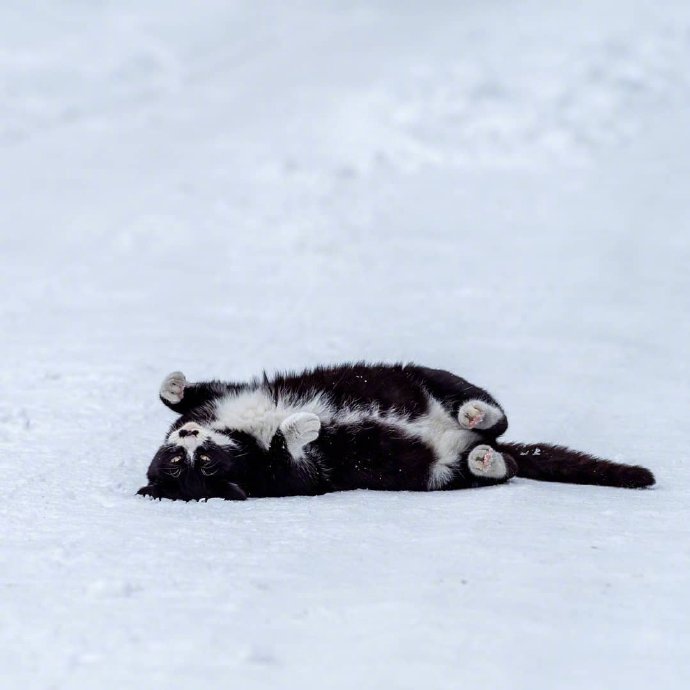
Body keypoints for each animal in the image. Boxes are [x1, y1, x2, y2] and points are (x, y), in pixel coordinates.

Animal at [137, 360, 652, 500]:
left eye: (195, 459)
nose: (189, 440)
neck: (240, 436)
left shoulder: (224, 397)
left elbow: (183, 397)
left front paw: (173, 383)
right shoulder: (289, 479)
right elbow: (296, 456)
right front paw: (304, 422)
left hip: (427, 377)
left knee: (494, 411)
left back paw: (474, 415)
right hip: (437, 475)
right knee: (500, 466)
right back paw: (484, 457)